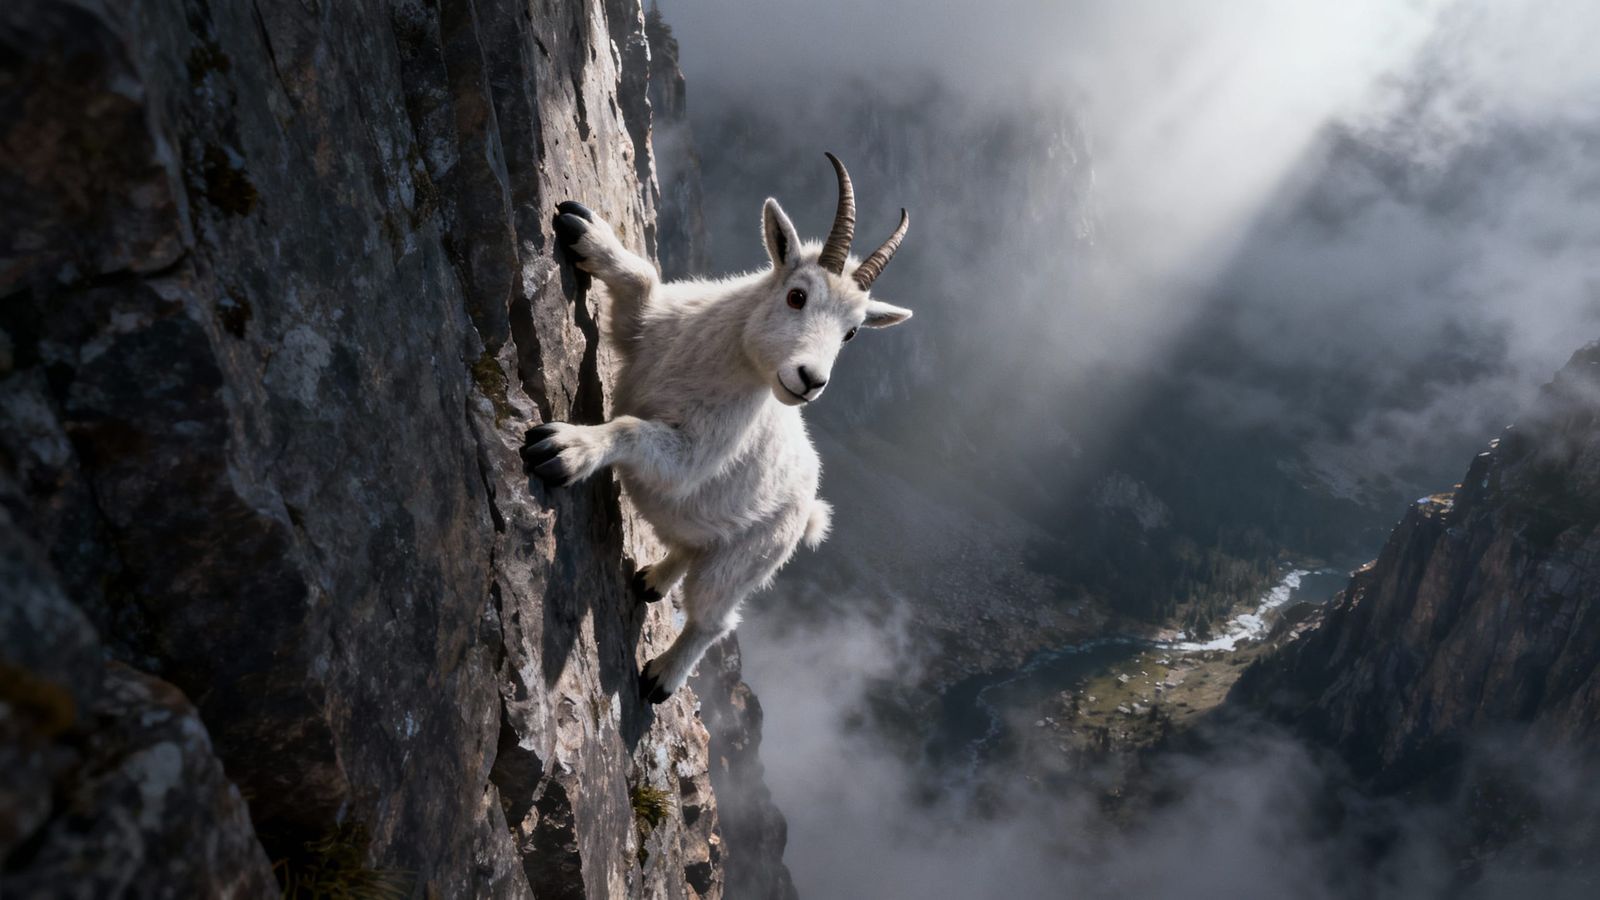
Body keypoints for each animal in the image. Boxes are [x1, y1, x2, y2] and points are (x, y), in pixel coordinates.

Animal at [523, 154, 912, 703]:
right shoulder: (644, 332)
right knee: (689, 545)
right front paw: (583, 230)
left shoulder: (694, 453)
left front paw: (567, 448)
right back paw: (651, 581)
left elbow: (631, 429)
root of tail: (809, 508)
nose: (810, 380)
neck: (717, 360)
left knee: (713, 618)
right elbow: (641, 280)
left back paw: (661, 677)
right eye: (797, 296)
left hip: (747, 560)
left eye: (852, 332)